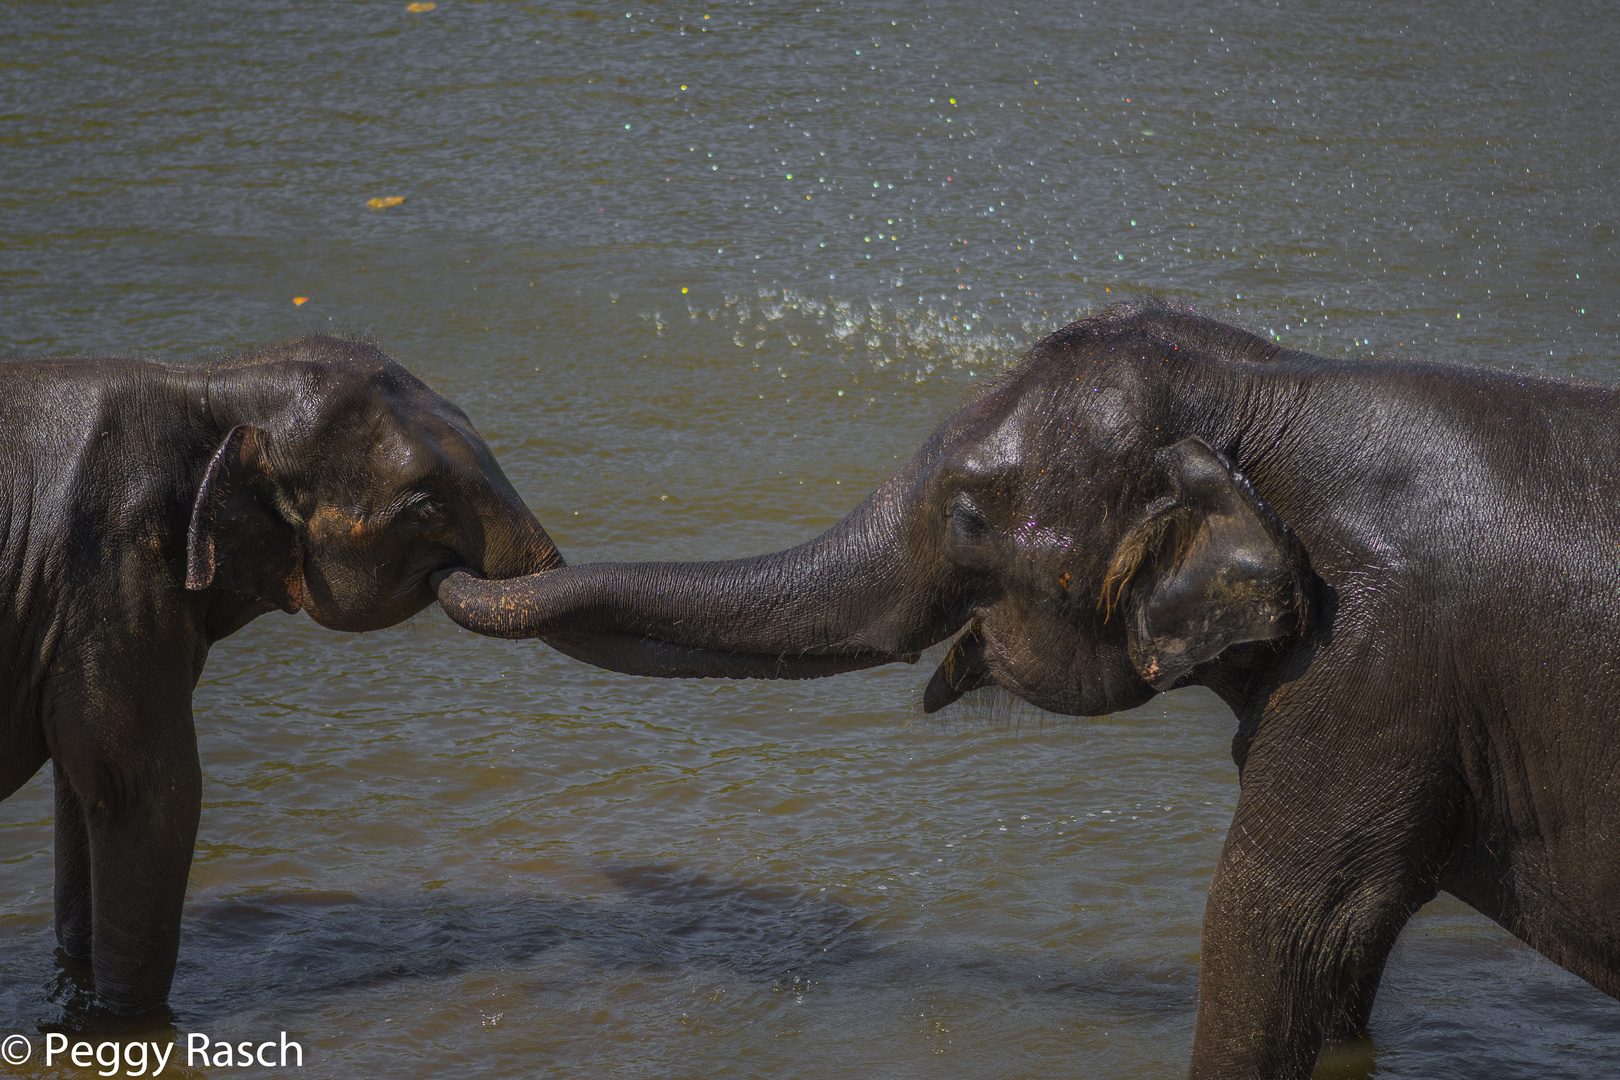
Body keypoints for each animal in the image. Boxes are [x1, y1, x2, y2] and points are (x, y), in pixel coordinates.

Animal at [437, 304, 1620, 1080]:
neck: (1278, 386)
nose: (450, 550)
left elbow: (1278, 927)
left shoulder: (1375, 670)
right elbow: (1337, 964)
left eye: (968, 518)